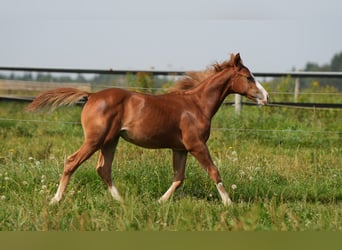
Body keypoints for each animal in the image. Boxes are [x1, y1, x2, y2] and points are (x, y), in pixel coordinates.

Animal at [26, 52, 268, 205]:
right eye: (248, 77)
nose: (265, 97)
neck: (197, 104)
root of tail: (92, 95)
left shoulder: (180, 149)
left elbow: (179, 177)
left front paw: (159, 201)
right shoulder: (196, 145)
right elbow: (214, 171)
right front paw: (229, 204)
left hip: (110, 140)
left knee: (103, 169)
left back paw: (121, 201)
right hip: (96, 139)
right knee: (72, 161)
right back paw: (55, 200)